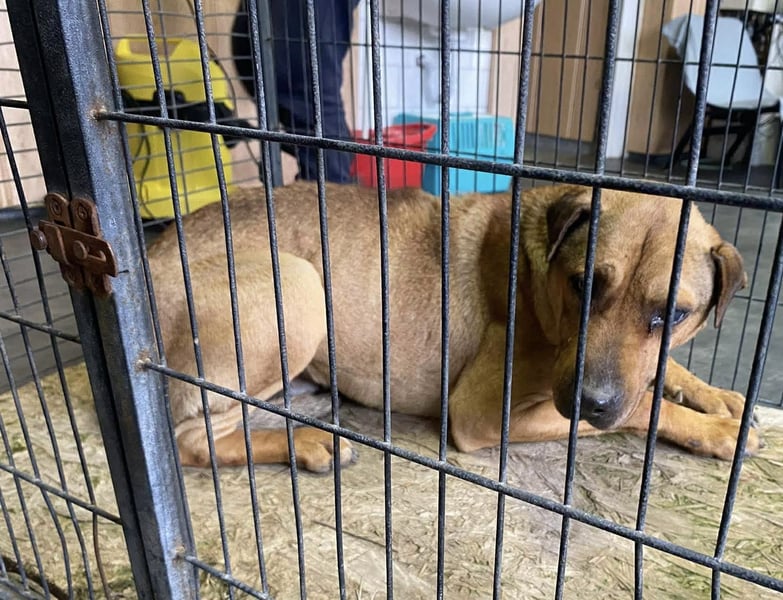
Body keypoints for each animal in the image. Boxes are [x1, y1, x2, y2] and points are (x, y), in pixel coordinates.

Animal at [146, 182, 760, 471]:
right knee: (193, 440)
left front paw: (717, 396)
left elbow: (661, 373)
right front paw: (717, 431)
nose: (591, 400)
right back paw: (306, 443)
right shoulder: (484, 414)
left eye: (674, 314)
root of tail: (146, 256)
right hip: (298, 286)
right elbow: (642, 409)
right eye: (583, 284)